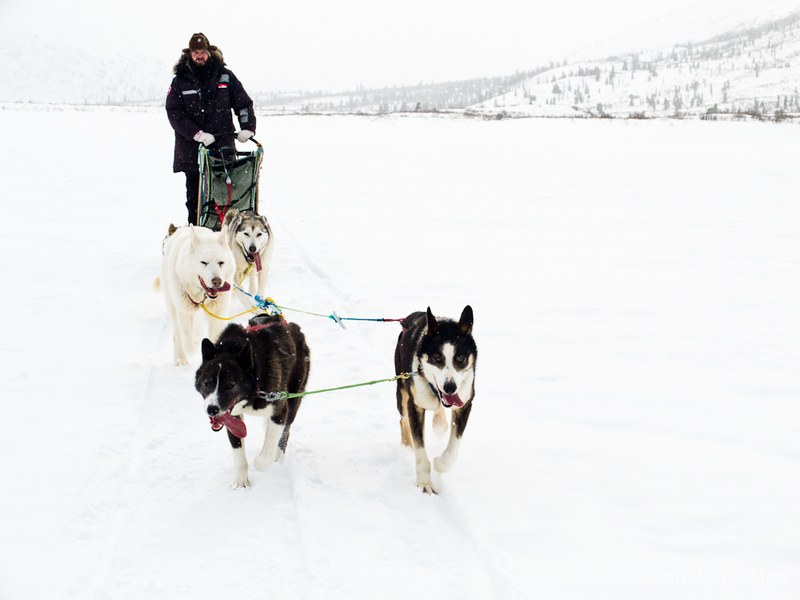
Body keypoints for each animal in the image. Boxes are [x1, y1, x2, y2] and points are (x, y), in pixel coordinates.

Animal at [159, 224, 234, 366]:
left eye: (221, 263)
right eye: (203, 262)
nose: (217, 281)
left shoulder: (218, 314)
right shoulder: (184, 311)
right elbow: (188, 342)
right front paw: (193, 348)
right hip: (173, 306)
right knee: (177, 334)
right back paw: (180, 359)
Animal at [195, 314, 310, 488]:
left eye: (230, 385)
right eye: (207, 383)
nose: (212, 409)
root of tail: (293, 326)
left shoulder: (280, 409)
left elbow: (264, 458)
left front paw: (264, 459)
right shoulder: (233, 416)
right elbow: (238, 449)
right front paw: (241, 481)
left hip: (294, 397)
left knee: (286, 430)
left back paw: (278, 455)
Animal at [394, 308, 476, 494]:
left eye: (460, 358)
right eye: (437, 358)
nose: (450, 387)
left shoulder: (465, 403)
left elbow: (453, 448)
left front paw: (440, 464)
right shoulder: (416, 405)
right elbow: (420, 450)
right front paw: (425, 483)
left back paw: (440, 422)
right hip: (402, 390)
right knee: (403, 419)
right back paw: (407, 445)